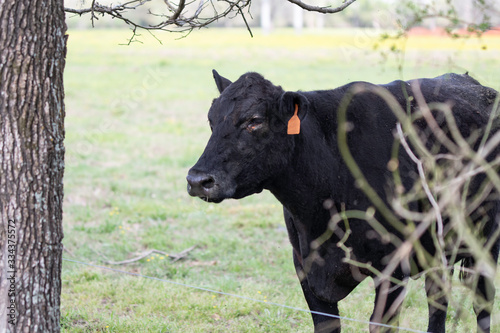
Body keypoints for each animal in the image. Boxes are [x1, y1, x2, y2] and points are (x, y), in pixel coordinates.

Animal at [186, 70, 498, 332]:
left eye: (254, 121)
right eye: (211, 120)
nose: (198, 180)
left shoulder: (393, 269)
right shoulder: (304, 266)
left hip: (484, 243)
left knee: (481, 304)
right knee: (438, 302)